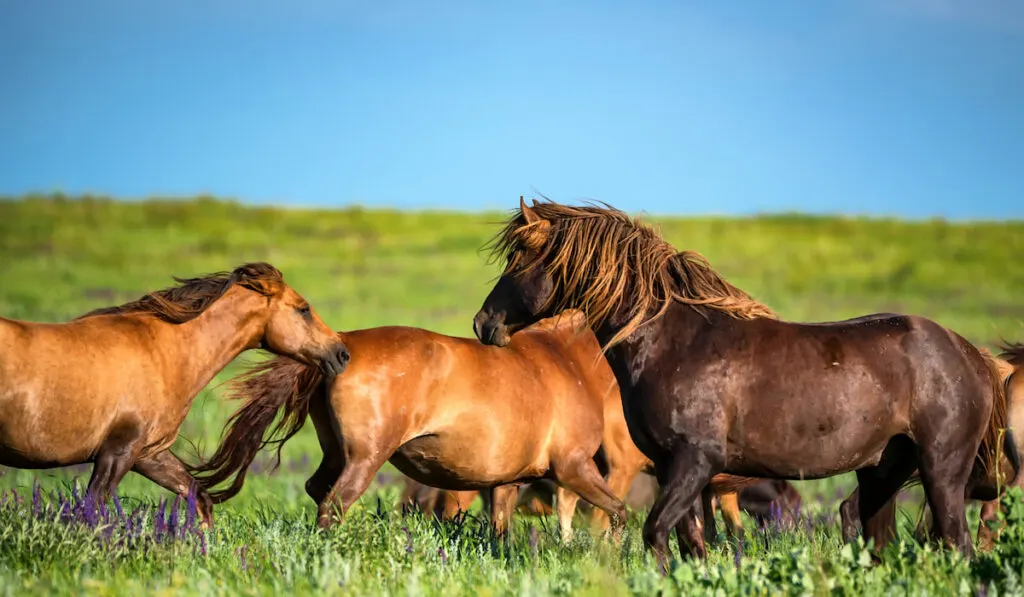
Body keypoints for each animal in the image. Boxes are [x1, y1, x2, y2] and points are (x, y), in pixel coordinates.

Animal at [0, 262, 348, 524]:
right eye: (303, 309)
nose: (341, 353)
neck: (163, 352)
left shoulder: (149, 454)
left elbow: (200, 498)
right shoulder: (118, 451)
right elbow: (93, 509)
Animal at [475, 198, 1019, 569]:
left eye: (520, 260)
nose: (484, 324)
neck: (673, 341)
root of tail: (971, 354)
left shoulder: (696, 461)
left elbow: (656, 534)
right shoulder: (675, 469)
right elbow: (691, 544)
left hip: (940, 472)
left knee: (959, 544)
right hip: (883, 472)